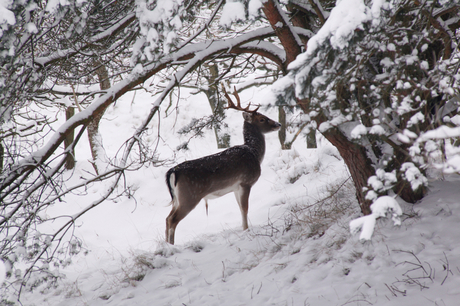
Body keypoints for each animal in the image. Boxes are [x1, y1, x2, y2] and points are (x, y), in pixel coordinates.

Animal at [165, 86, 280, 244]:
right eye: (262, 119)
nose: (278, 124)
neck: (254, 153)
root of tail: (172, 172)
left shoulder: (236, 187)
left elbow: (240, 208)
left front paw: (244, 229)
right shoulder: (246, 182)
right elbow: (245, 209)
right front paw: (246, 230)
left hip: (177, 198)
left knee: (167, 218)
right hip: (190, 195)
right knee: (172, 220)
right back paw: (171, 246)